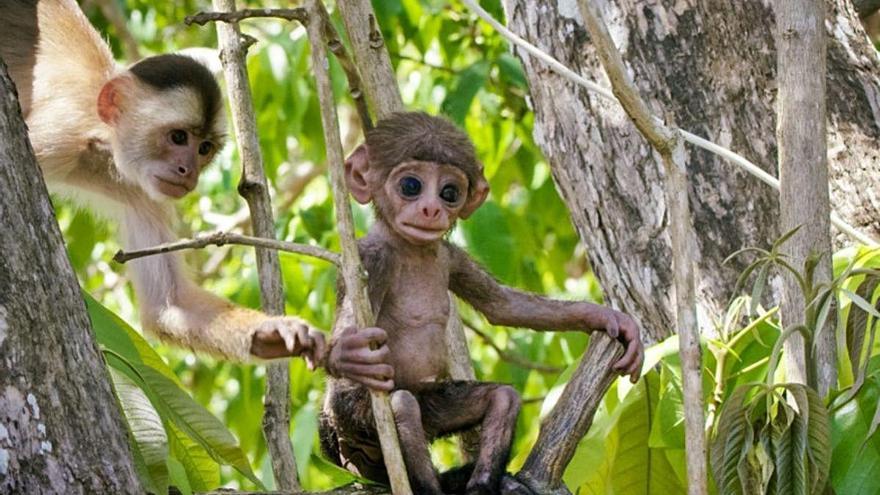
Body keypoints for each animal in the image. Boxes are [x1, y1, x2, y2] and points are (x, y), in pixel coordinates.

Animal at [0, 0, 382, 364]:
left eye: (204, 148)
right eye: (178, 137)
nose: (189, 171)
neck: (100, 143)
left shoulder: (143, 192)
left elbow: (169, 306)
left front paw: (278, 334)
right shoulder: (57, 139)